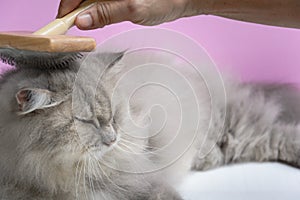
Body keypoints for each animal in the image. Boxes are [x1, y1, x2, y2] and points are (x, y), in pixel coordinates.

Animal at [0, 49, 298, 199]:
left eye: (114, 115)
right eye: (86, 121)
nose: (113, 138)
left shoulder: (143, 182)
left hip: (237, 132)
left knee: (282, 135)